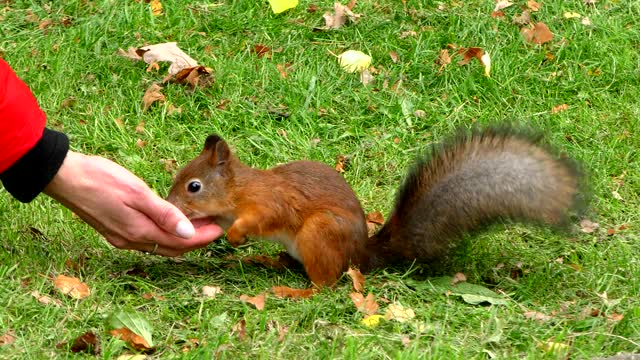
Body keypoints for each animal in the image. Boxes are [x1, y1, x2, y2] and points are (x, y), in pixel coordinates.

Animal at [166, 126, 584, 286]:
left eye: (194, 186)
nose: (171, 204)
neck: (240, 191)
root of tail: (360, 255)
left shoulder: (271, 202)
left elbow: (264, 217)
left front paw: (237, 234)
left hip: (320, 233)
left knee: (325, 285)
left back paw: (294, 291)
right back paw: (268, 261)